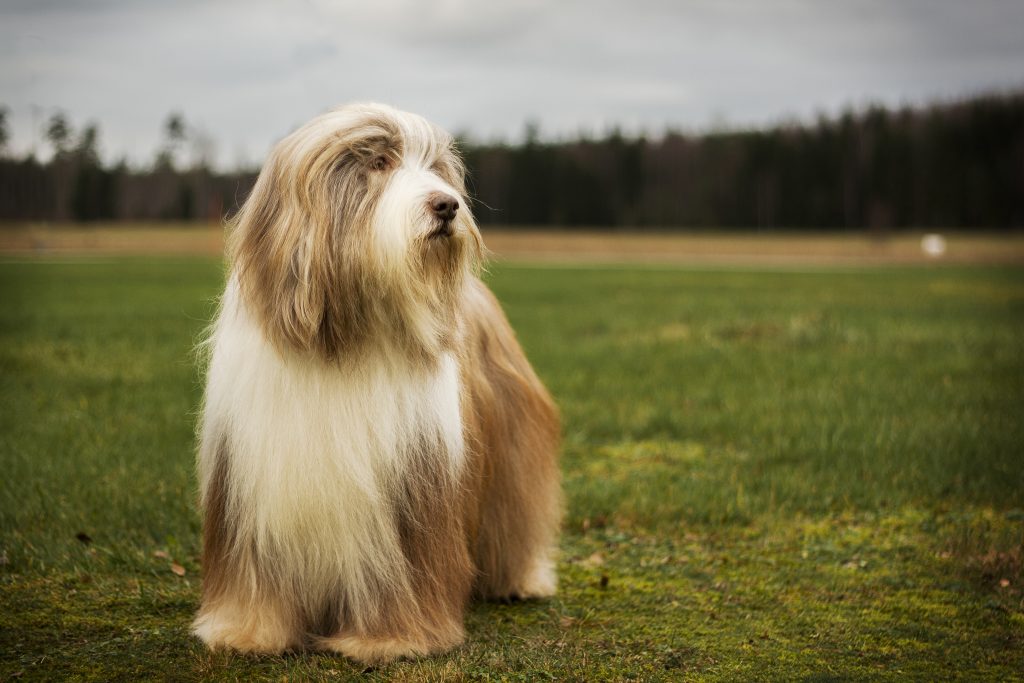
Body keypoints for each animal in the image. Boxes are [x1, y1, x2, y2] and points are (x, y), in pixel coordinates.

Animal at [192, 104, 561, 663]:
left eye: (434, 166)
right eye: (380, 162)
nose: (447, 205)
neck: (350, 339)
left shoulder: (413, 484)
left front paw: (389, 640)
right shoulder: (251, 482)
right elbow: (255, 578)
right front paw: (247, 632)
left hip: (509, 451)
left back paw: (519, 581)